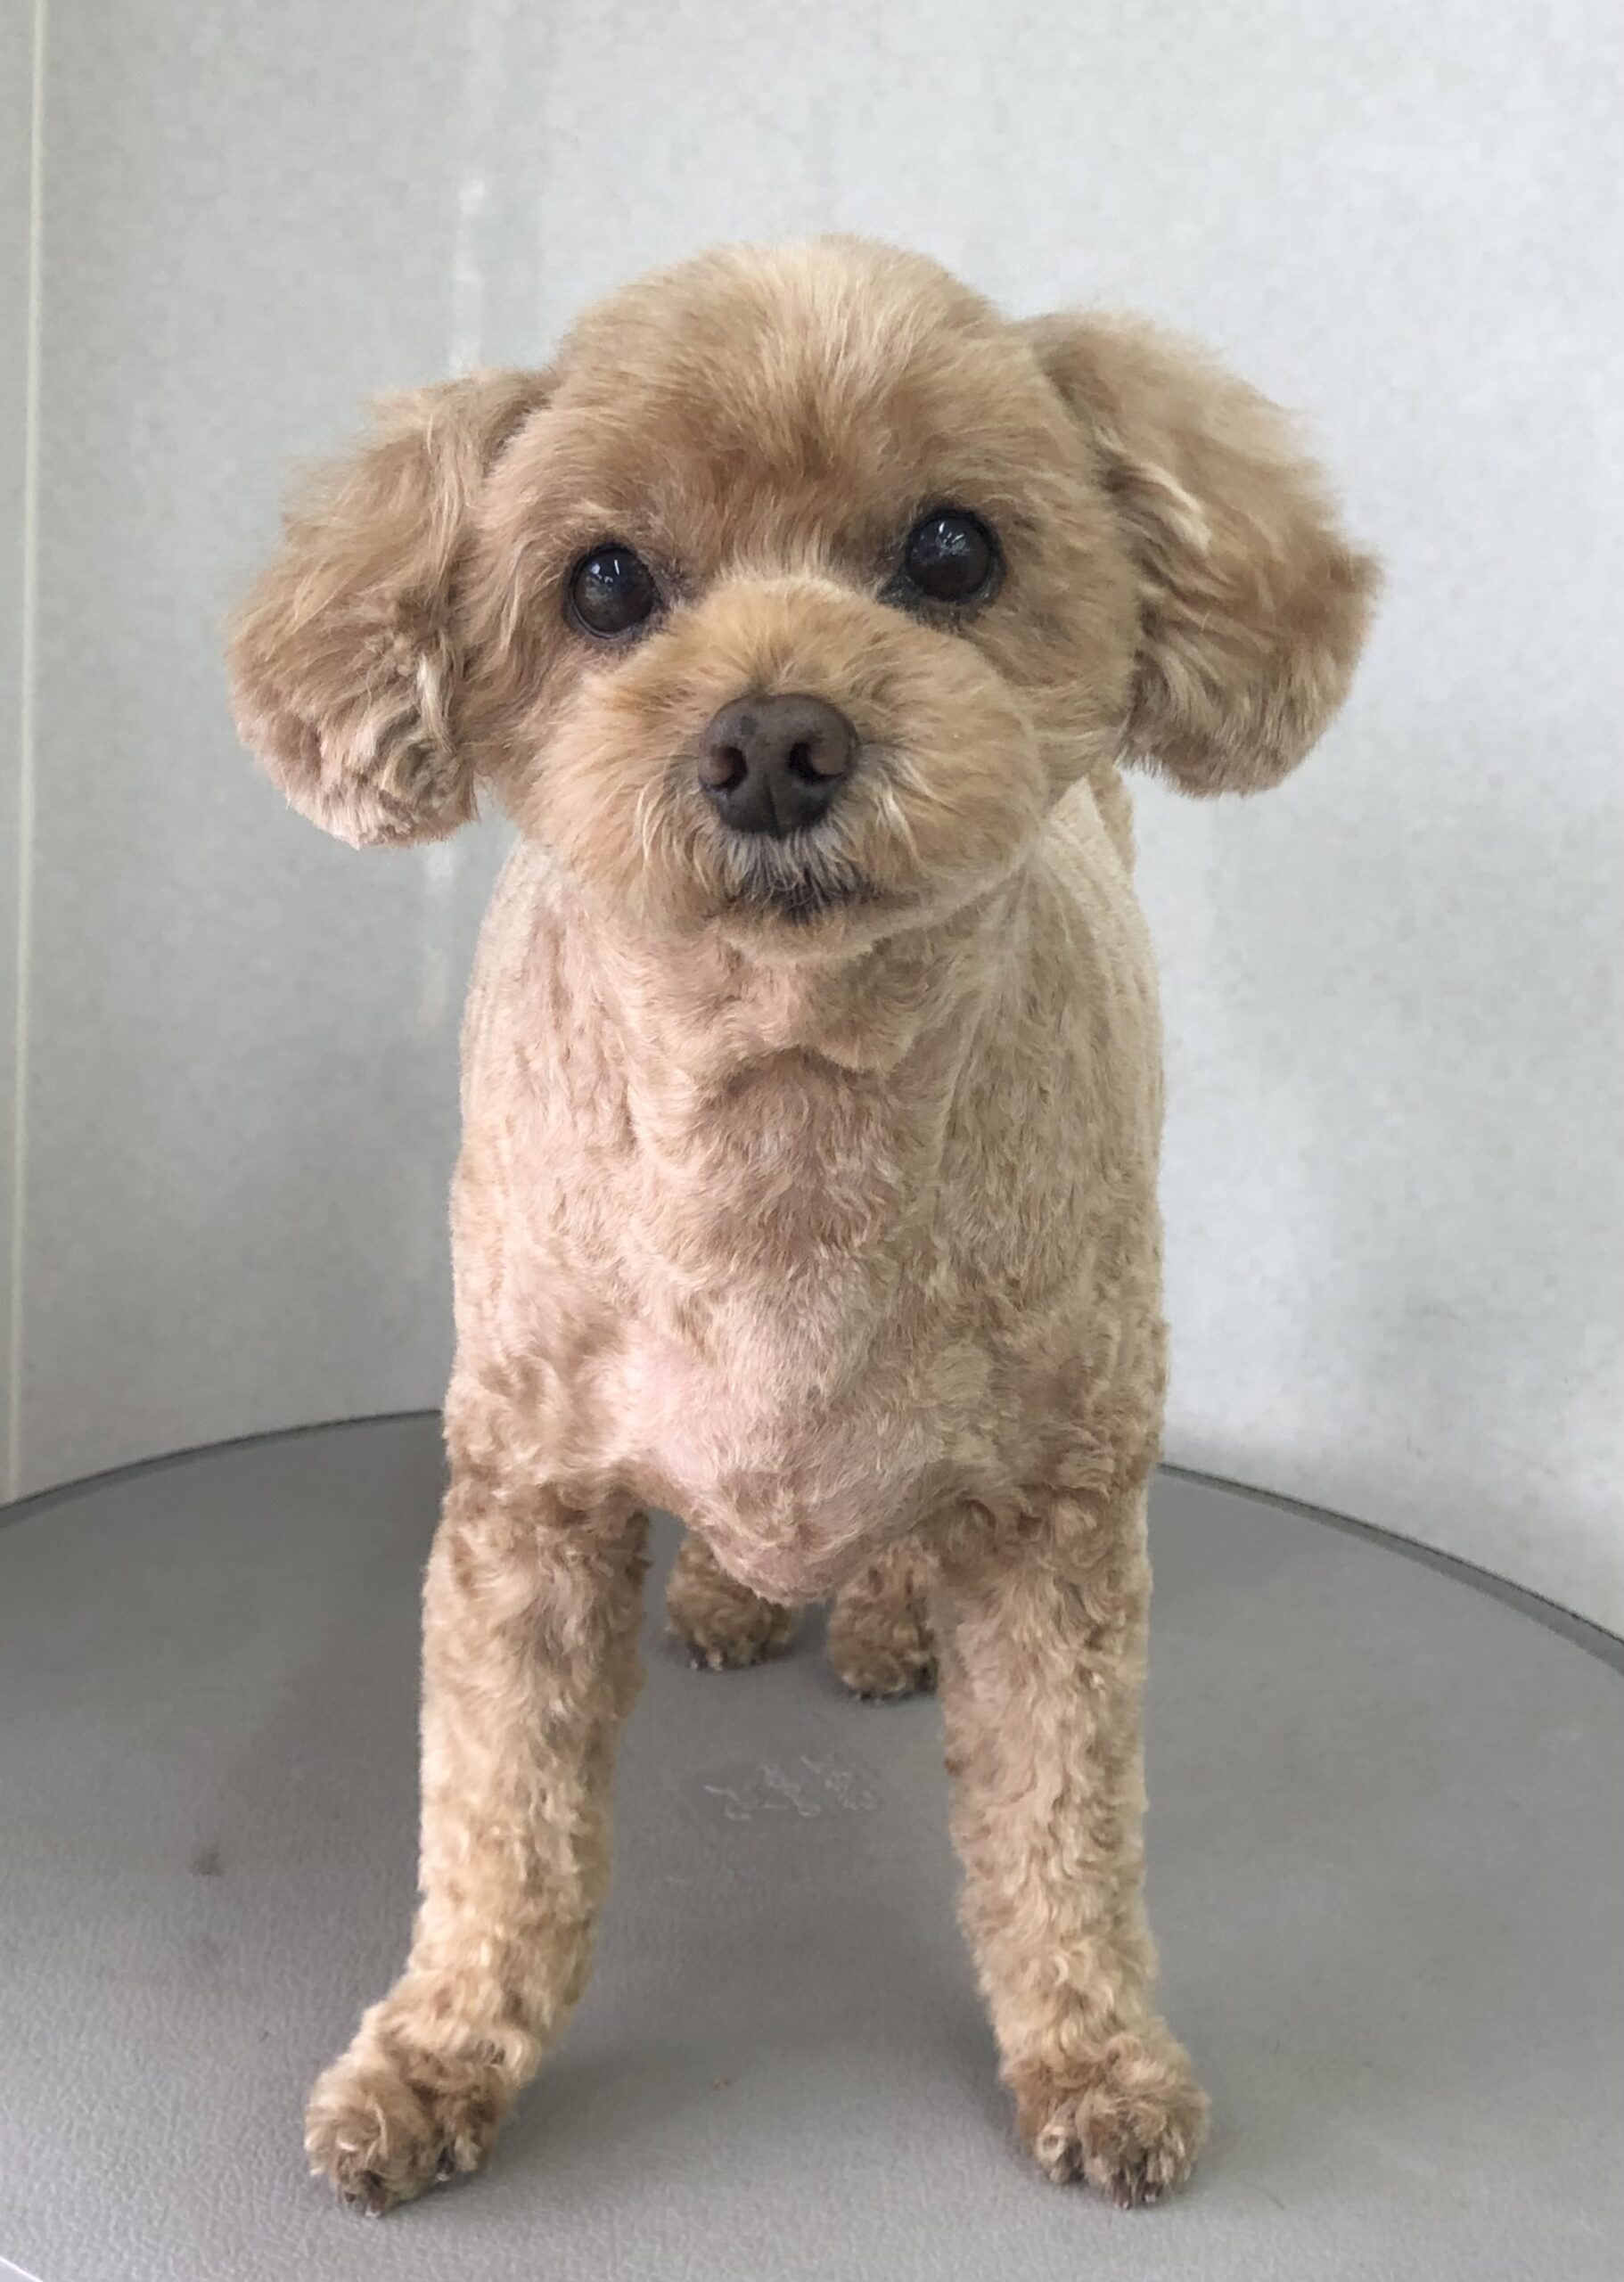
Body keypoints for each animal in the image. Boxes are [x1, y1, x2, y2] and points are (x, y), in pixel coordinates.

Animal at [228, 236, 1376, 2216]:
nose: (774, 736)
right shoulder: (528, 1506)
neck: (783, 1104)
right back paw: (731, 1594)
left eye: (951, 551)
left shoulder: (1061, 1521)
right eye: (604, 581)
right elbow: (500, 1830)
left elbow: (1058, 1831)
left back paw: (877, 1615)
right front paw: (439, 2055)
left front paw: (1096, 2054)